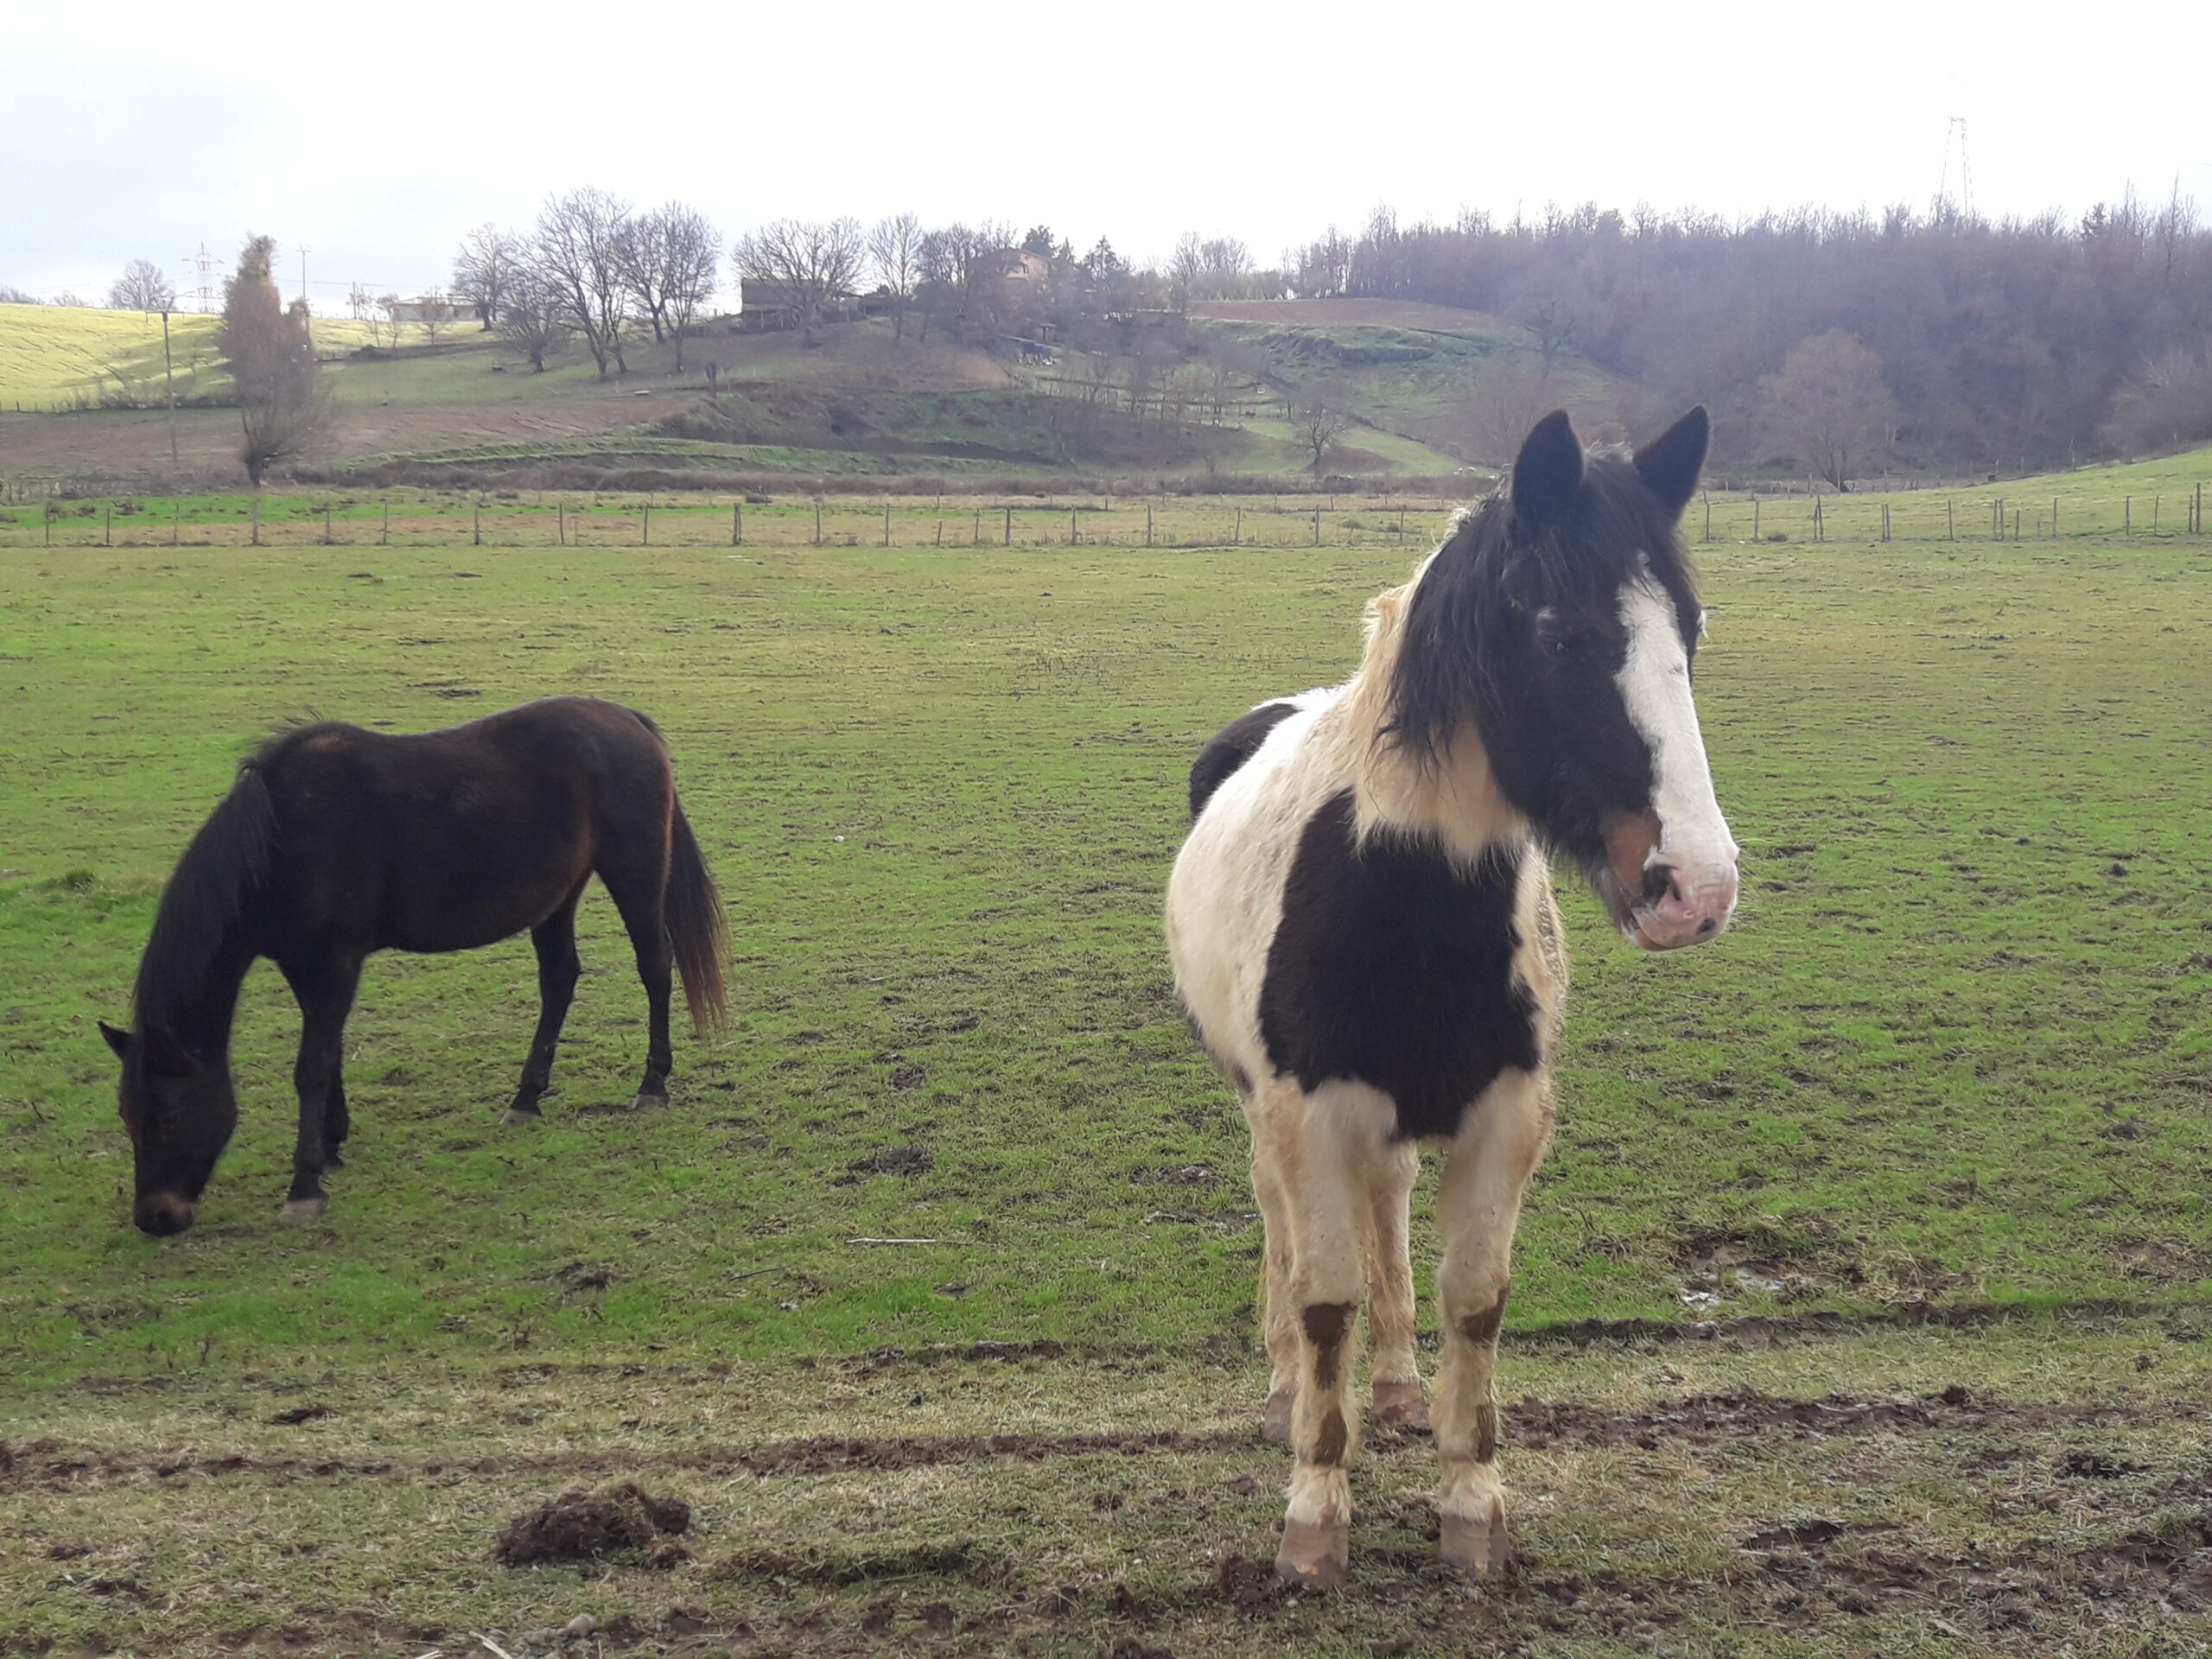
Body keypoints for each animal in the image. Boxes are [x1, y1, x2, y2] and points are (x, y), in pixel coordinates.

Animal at [99, 698, 729, 1238]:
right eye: (126, 1115)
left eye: (168, 1117)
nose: (155, 1217)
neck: (281, 836)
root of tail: (627, 720)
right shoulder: (304, 967)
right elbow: (329, 1057)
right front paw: (331, 1148)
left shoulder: (334, 962)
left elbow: (310, 1067)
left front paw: (305, 1186)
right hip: (558, 894)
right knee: (559, 979)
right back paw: (526, 1099)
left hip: (633, 870)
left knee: (654, 967)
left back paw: (652, 1085)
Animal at [1167, 409, 1734, 1592]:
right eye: (1560, 637)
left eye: (1690, 632)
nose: (1696, 889)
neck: (1400, 894)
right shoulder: (1308, 1112)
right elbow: (1323, 1298)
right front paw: (1314, 1514)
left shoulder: (1501, 1118)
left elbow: (1473, 1300)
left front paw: (1470, 1503)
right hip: (1264, 1116)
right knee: (1286, 1232)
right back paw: (1290, 1393)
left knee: (1385, 1212)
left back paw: (1391, 1388)